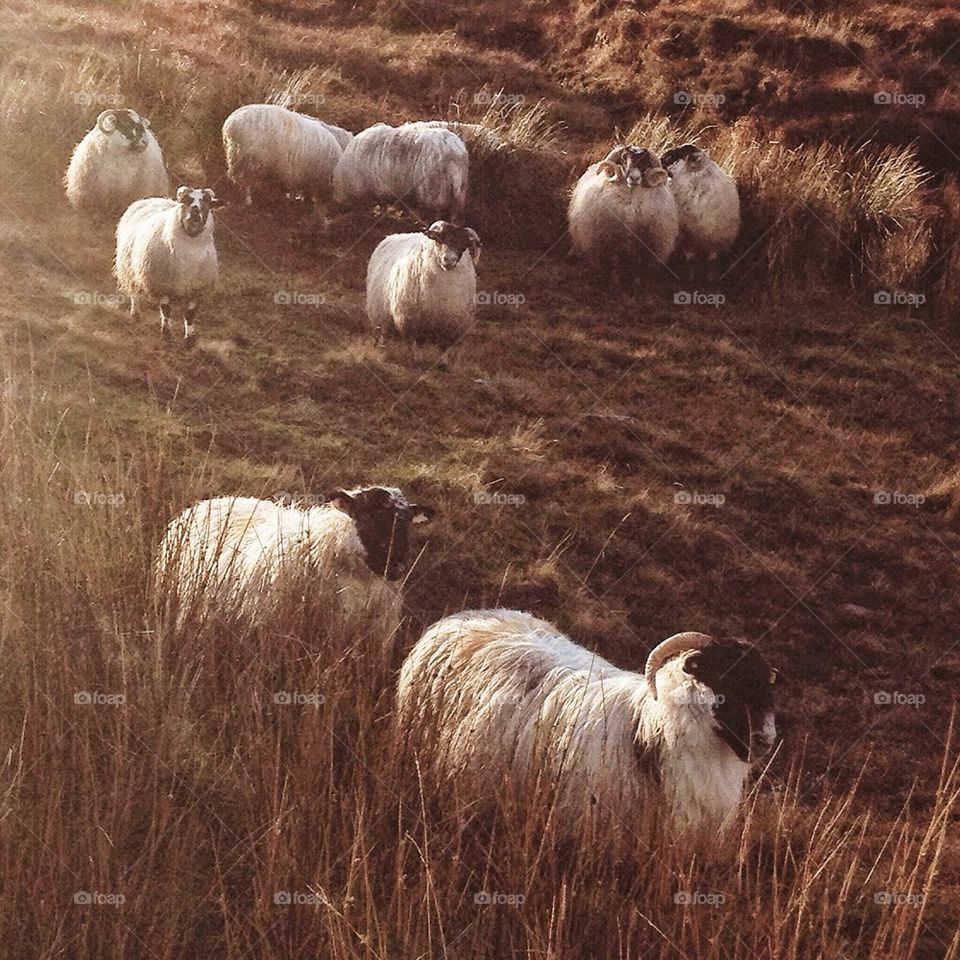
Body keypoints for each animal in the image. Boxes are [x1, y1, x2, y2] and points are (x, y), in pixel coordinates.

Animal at [114, 186, 221, 340]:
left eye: (207, 201)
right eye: (186, 200)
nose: (195, 211)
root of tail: (151, 199)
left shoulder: (196, 289)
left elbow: (190, 314)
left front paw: (190, 338)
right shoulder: (163, 285)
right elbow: (166, 310)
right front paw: (166, 332)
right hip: (129, 267)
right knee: (134, 293)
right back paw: (135, 314)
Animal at [568, 145, 679, 288]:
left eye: (645, 162)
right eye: (624, 159)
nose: (634, 178)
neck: (631, 197)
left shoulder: (645, 248)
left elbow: (639, 269)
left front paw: (637, 284)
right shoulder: (611, 243)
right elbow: (614, 265)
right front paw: (614, 283)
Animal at [661, 143, 740, 280]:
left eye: (677, 156)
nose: (661, 158)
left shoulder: (716, 242)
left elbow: (712, 261)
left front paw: (711, 278)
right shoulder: (686, 241)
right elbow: (690, 259)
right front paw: (691, 277)